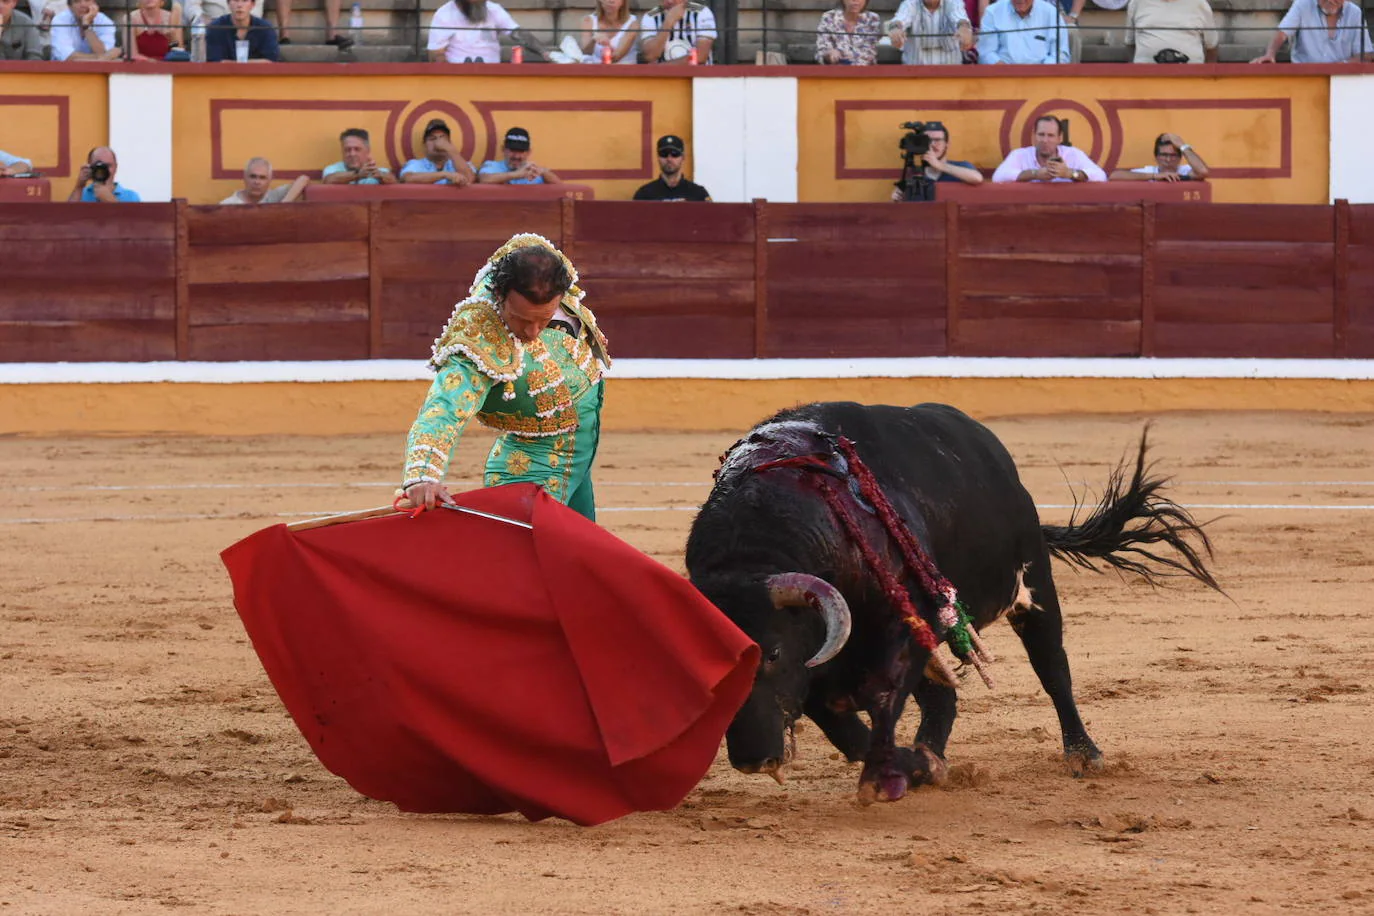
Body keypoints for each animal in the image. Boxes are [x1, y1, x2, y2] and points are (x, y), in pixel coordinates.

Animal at [681, 403, 1220, 807]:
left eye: (771, 653)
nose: (752, 759)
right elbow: (837, 714)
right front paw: (912, 763)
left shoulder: (907, 624)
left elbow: (881, 695)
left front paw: (889, 773)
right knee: (943, 696)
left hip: (1034, 588)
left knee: (1053, 669)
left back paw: (1083, 754)